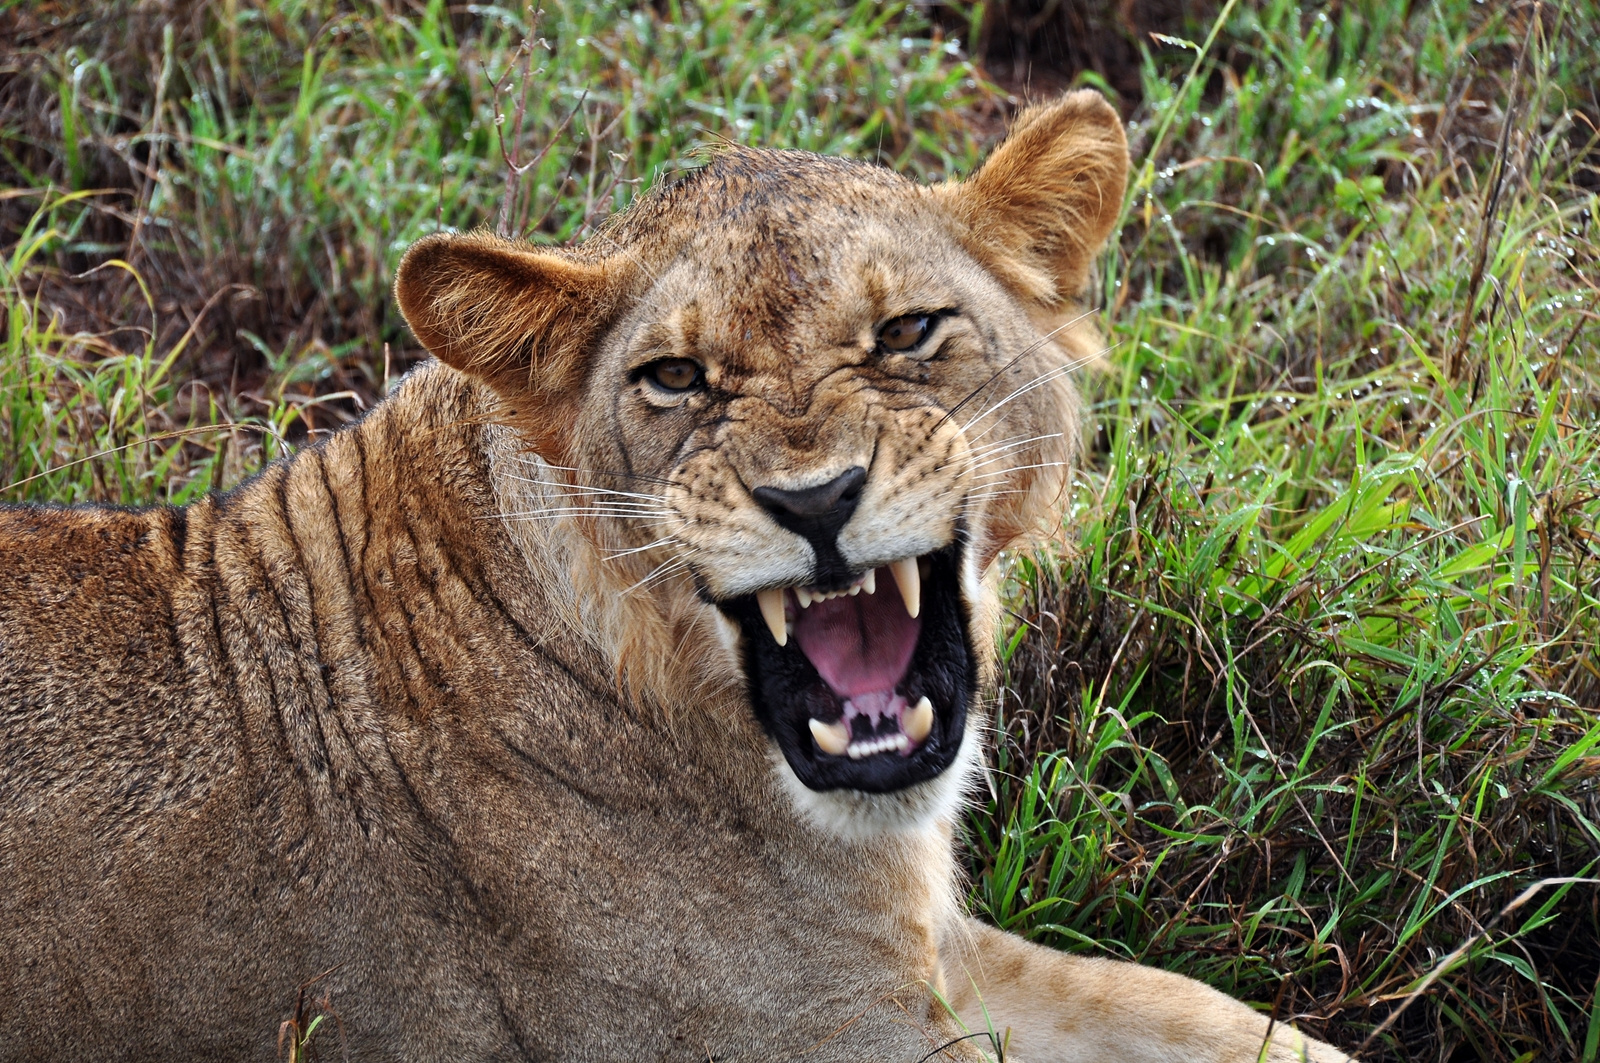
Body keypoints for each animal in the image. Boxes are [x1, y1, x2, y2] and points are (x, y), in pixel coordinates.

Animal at [0, 91, 1350, 1063]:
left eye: (908, 331)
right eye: (677, 379)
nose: (814, 501)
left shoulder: (935, 960)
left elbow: (1200, 1012)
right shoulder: (828, 1033)